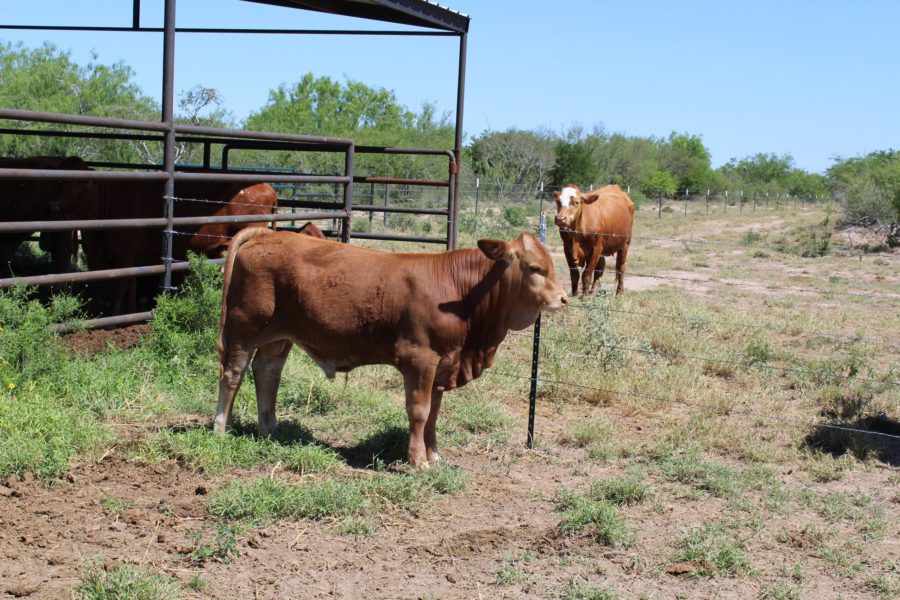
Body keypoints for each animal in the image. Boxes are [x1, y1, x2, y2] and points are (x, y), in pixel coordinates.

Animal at [214, 230, 568, 468]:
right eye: (535, 268)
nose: (563, 298)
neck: (462, 294)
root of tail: (267, 232)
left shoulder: (444, 364)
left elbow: (434, 414)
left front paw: (433, 455)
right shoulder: (419, 359)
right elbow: (419, 411)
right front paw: (417, 461)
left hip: (278, 337)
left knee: (267, 373)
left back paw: (270, 430)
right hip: (245, 329)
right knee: (233, 375)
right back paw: (220, 428)